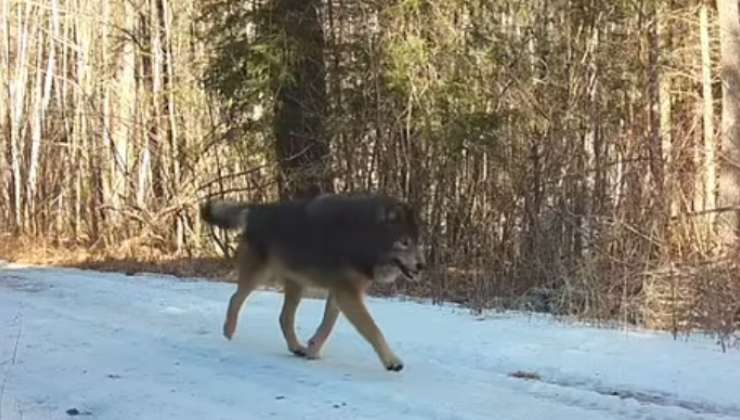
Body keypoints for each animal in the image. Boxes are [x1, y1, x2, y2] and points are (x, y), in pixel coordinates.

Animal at [199, 193, 424, 370]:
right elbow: (373, 329)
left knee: (284, 318)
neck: (363, 236)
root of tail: (258, 208)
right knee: (235, 298)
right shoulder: (346, 293)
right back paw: (228, 331)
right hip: (260, 276)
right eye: (404, 242)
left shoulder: (340, 292)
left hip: (297, 285)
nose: (421, 265)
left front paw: (312, 350)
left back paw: (296, 348)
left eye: (417, 242)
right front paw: (392, 361)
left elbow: (327, 326)